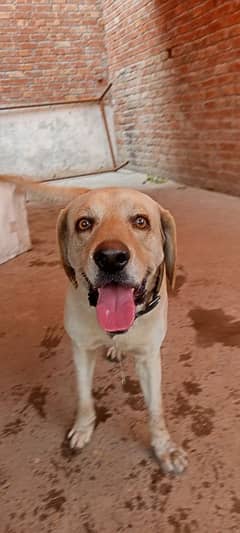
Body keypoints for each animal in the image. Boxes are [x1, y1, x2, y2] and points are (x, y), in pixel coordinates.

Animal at [0, 175, 188, 474]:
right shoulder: (81, 349)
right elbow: (83, 395)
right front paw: (83, 427)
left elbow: (156, 409)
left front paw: (164, 447)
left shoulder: (148, 358)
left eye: (140, 221)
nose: (111, 257)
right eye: (84, 223)